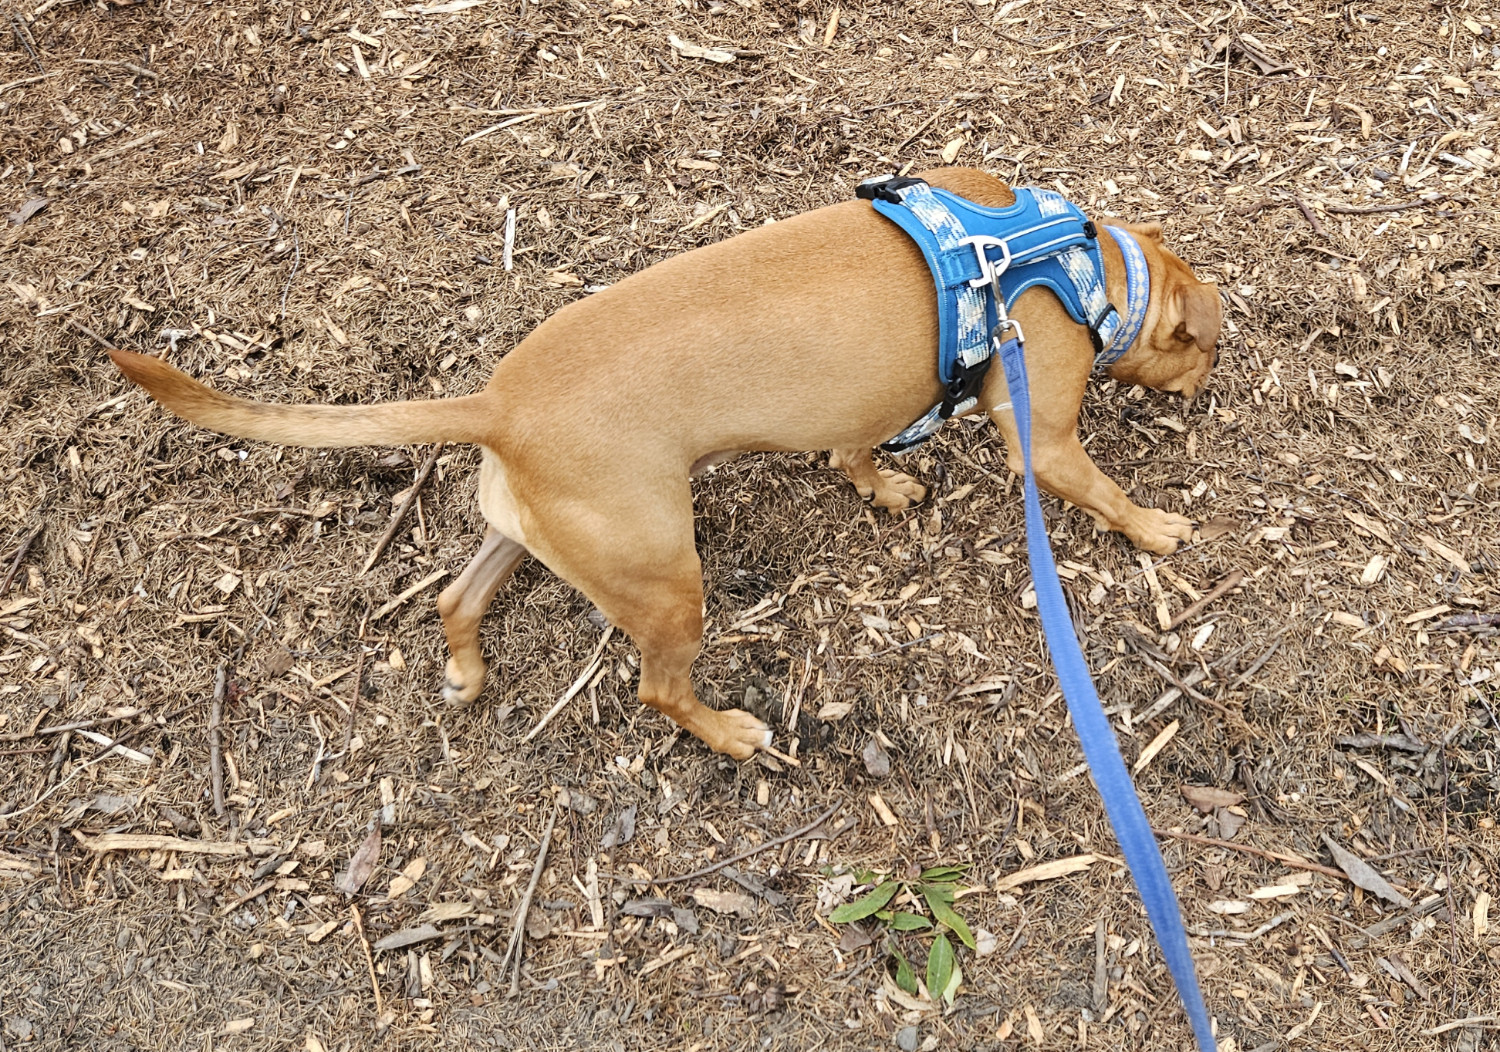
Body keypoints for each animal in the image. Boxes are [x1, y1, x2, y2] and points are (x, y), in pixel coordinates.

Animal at [114, 168, 1218, 756]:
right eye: (1203, 347)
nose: (1206, 387)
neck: (1082, 261)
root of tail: (501, 405)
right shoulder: (1048, 438)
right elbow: (1100, 488)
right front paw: (1157, 527)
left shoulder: (863, 411)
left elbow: (855, 449)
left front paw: (882, 483)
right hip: (665, 580)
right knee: (657, 690)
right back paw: (730, 730)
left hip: (546, 541)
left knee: (456, 600)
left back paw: (468, 671)